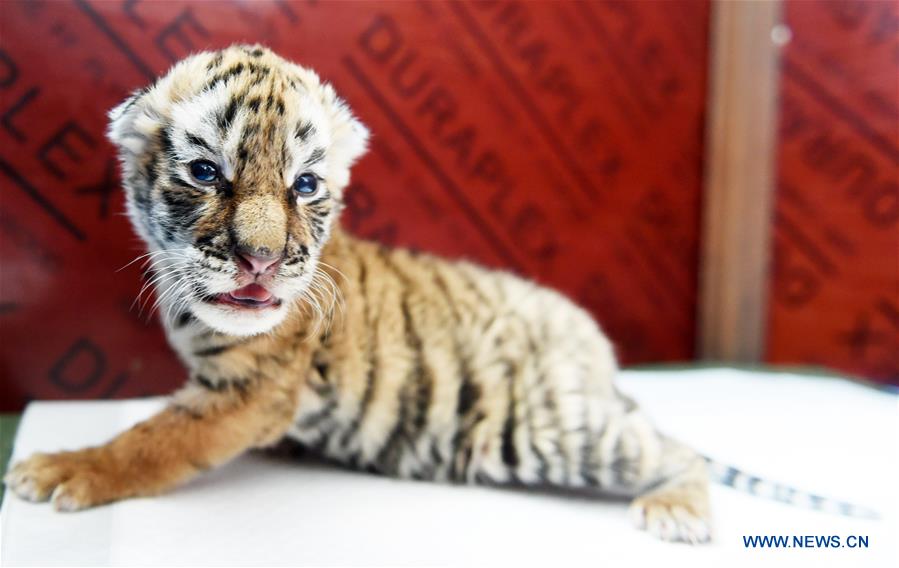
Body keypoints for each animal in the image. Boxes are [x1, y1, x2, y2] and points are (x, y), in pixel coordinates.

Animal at [3, 45, 874, 545]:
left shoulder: (250, 390)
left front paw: (64, 470)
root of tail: (594, 356)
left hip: (554, 431)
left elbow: (155, 439)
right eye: (205, 172)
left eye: (305, 185)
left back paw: (678, 514)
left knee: (677, 451)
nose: (261, 260)